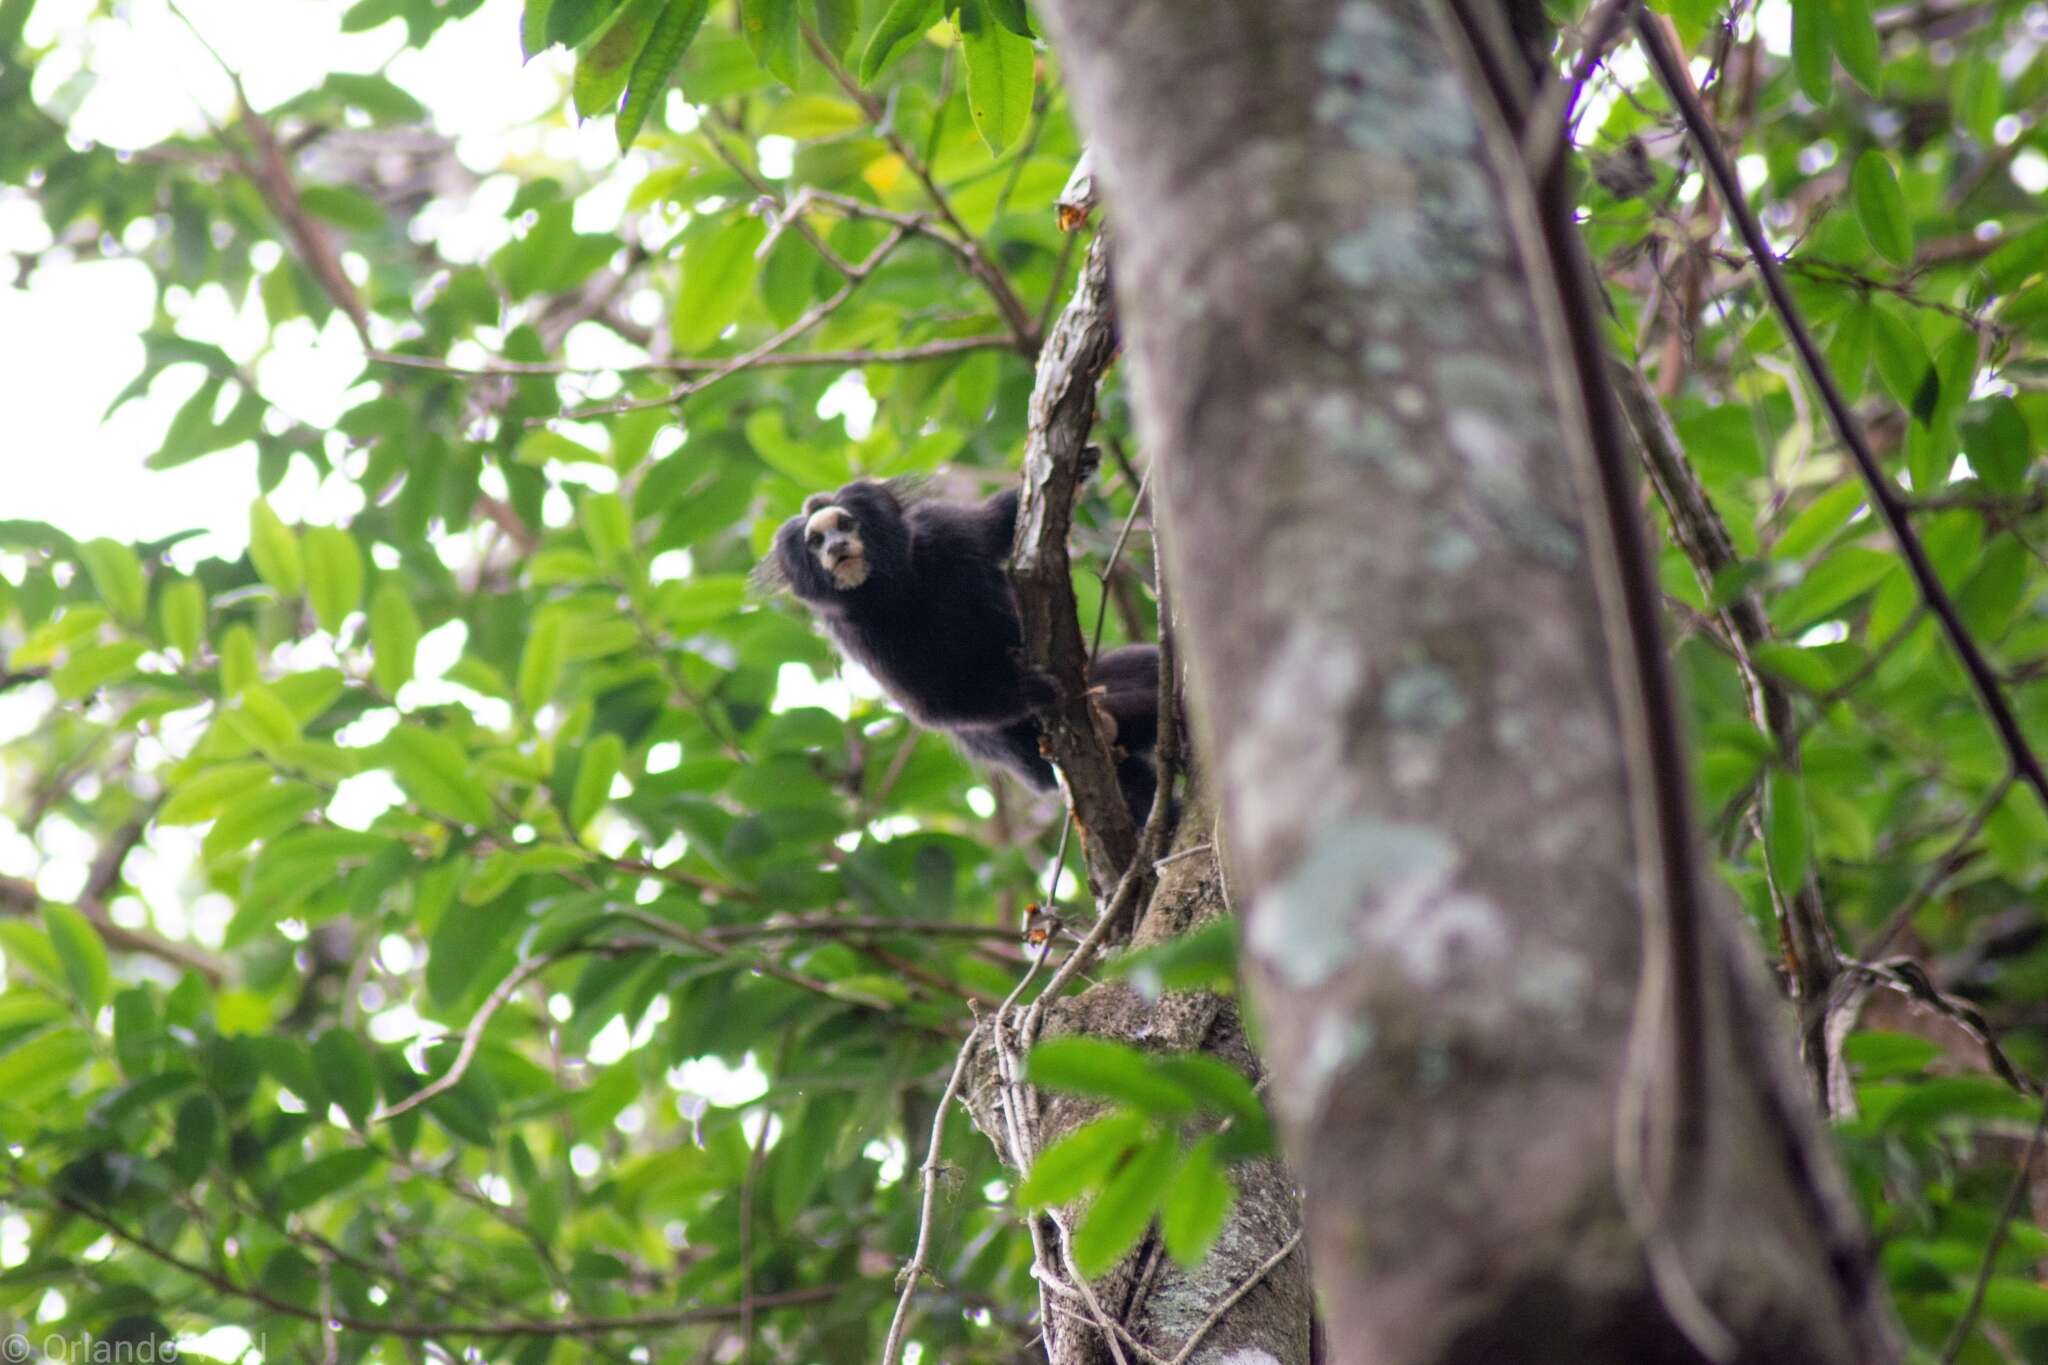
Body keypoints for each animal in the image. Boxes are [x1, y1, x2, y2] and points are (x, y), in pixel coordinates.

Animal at [761, 480, 1163, 822]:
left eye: (845, 525)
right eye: (815, 541)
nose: (835, 548)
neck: (900, 587)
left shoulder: (945, 529)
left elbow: (1001, 522)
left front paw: (1080, 470)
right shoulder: (857, 636)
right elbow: (935, 704)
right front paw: (1030, 690)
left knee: (1151, 673)